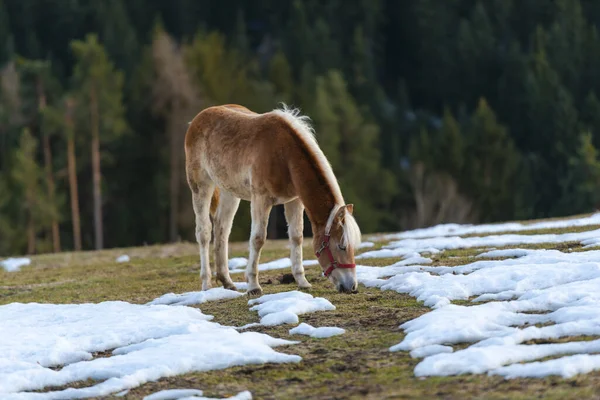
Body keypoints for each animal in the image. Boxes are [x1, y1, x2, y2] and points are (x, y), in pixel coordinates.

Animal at [183, 104, 360, 296]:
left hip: (229, 192)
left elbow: (296, 237)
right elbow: (258, 239)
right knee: (204, 233)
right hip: (201, 186)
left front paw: (302, 282)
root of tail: (198, 119)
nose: (352, 287)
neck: (285, 155)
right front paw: (253, 286)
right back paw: (206, 284)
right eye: (342, 246)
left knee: (222, 229)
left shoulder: (294, 201)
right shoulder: (261, 199)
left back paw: (227, 282)